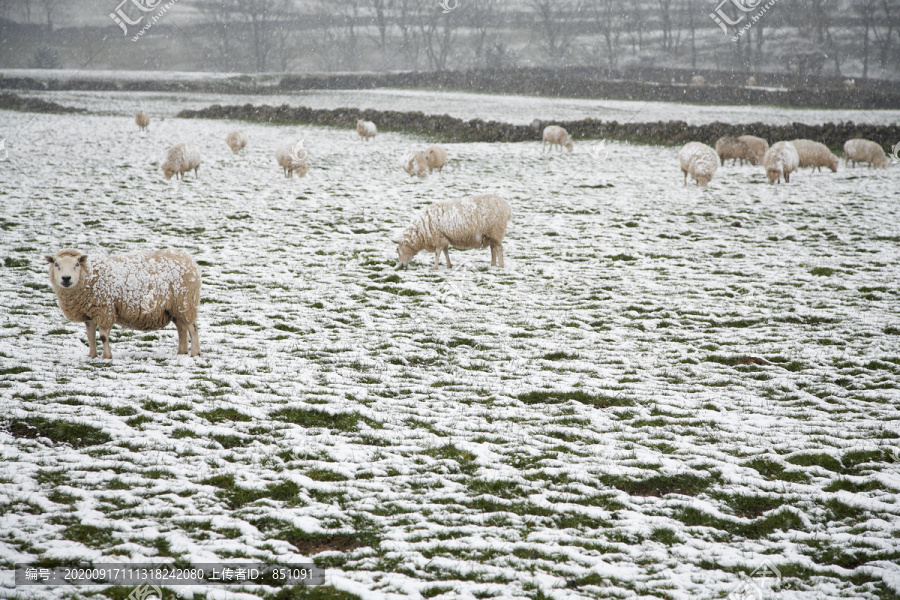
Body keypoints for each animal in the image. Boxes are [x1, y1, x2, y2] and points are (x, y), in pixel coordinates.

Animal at [45, 246, 200, 358]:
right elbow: (90, 336)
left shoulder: (105, 309)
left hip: (185, 302)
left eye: (77, 264)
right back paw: (182, 352)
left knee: (192, 328)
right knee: (181, 328)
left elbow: (103, 337)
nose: (66, 278)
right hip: (175, 307)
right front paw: (92, 356)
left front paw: (106, 357)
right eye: (56, 264)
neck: (89, 276)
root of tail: (189, 260)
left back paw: (195, 353)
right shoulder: (89, 313)